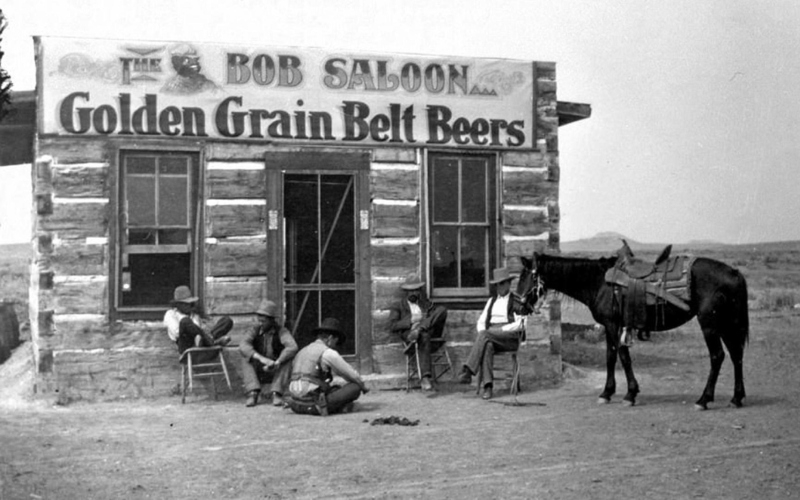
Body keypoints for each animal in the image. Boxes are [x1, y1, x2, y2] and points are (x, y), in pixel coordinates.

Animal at [512, 250, 752, 410]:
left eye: (527, 276)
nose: (517, 307)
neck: (598, 283)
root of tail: (734, 273)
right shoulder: (614, 326)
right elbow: (615, 356)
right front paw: (615, 392)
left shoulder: (612, 324)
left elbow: (618, 356)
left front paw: (623, 394)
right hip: (727, 323)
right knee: (736, 355)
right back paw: (736, 398)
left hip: (710, 323)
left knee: (718, 356)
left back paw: (704, 399)